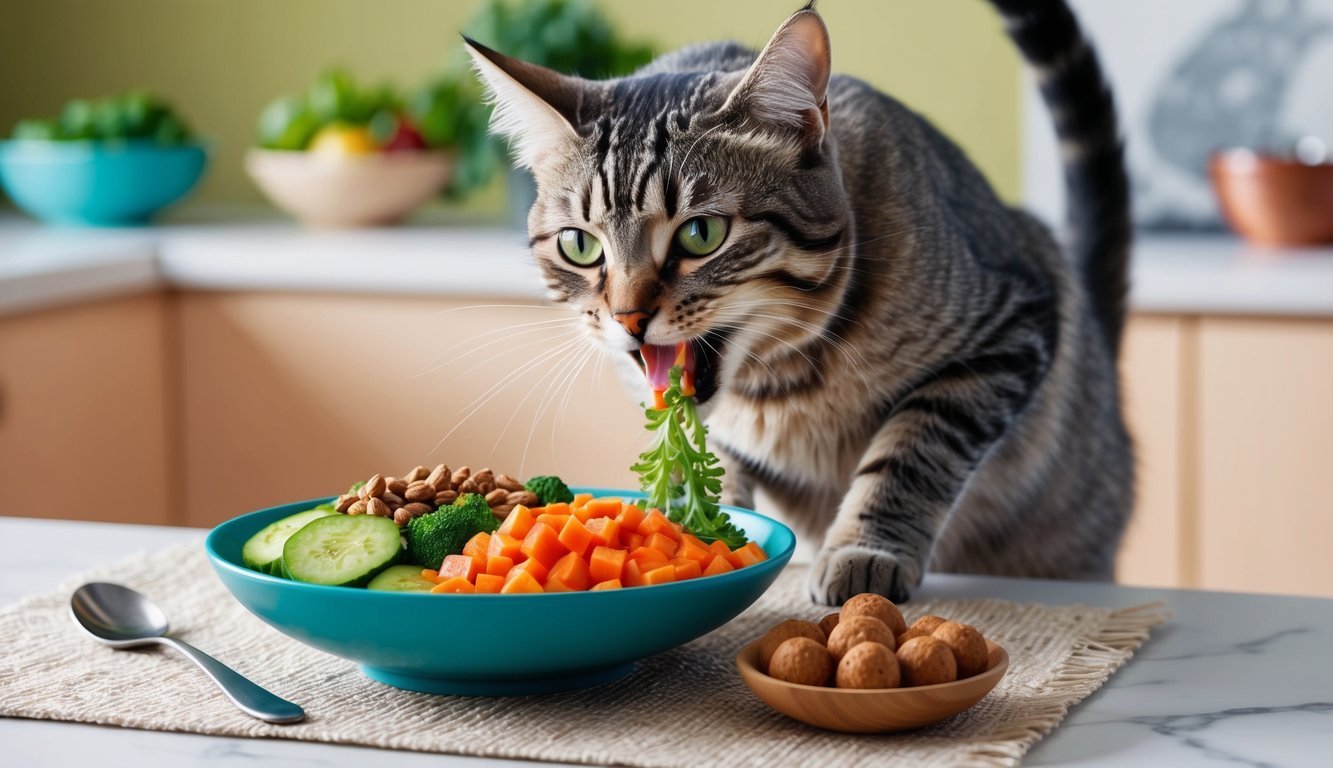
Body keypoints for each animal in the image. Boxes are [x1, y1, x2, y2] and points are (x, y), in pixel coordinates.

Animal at [463, 0, 1130, 602]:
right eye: (579, 244)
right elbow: (702, 454)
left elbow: (910, 455)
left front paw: (864, 551)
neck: (775, 381)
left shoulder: (1005, 335)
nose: (629, 319)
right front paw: (691, 521)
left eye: (700, 234)